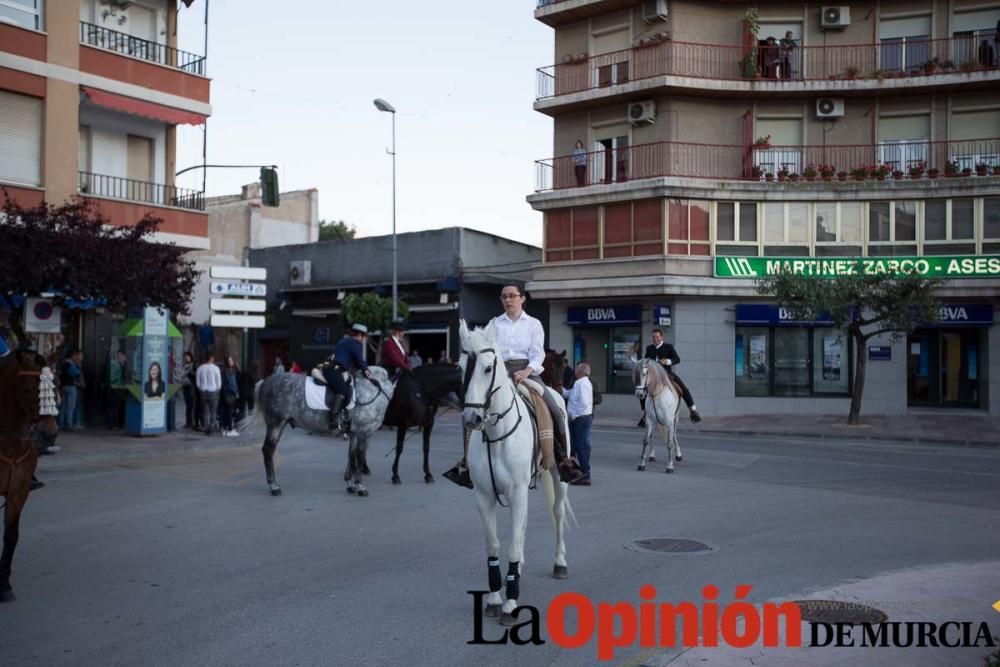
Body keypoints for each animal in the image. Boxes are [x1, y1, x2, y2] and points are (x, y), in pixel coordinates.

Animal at [250, 368, 394, 498]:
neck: (373, 390)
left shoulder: (354, 433)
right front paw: (360, 487)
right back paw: (274, 487)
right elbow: (360, 458)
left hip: (280, 425)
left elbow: (351, 456)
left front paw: (350, 484)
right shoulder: (364, 433)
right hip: (276, 424)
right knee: (268, 450)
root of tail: (264, 381)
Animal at [458, 320, 576, 628]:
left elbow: (511, 544)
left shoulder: (519, 490)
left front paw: (511, 604)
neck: (497, 435)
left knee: (558, 513)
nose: (472, 419)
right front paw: (494, 598)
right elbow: (495, 545)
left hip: (558, 478)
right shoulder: (484, 496)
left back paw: (560, 563)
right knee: (521, 527)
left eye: (488, 368)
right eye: (461, 366)